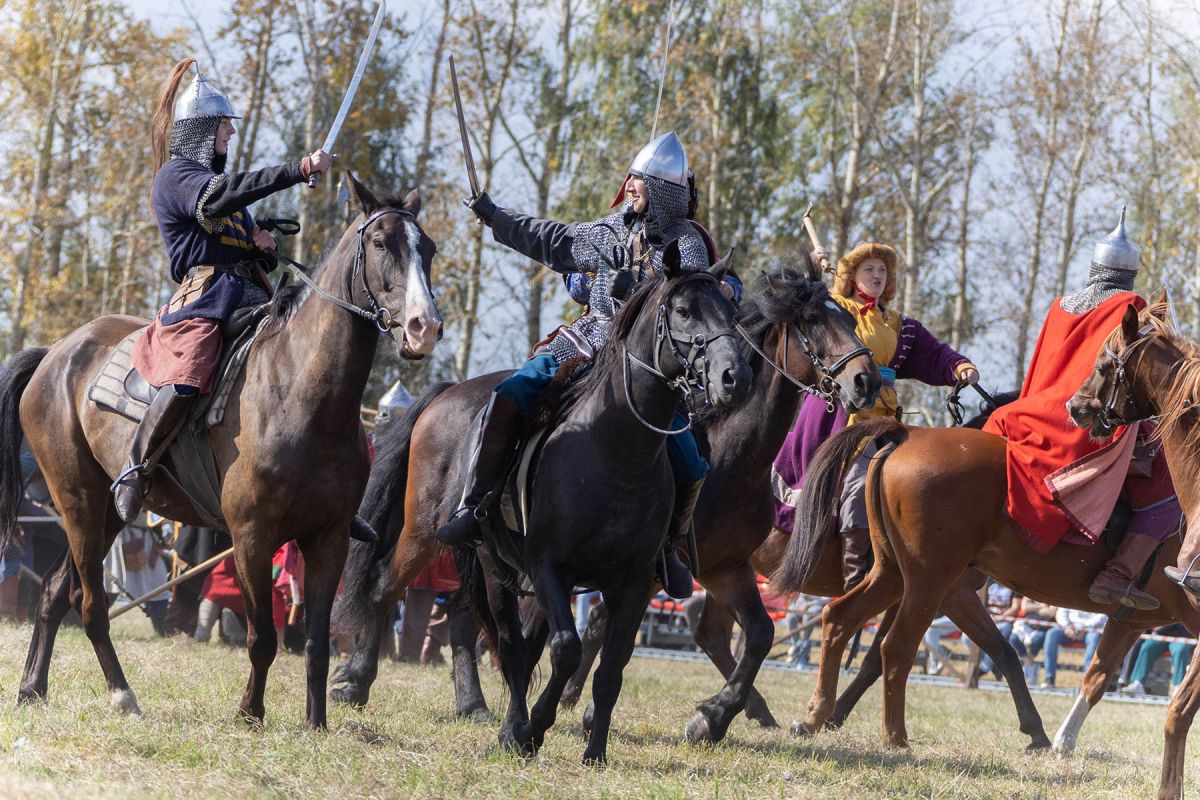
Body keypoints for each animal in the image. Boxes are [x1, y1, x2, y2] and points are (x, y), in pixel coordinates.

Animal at [0, 176, 441, 734]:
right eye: (381, 243)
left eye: (428, 249)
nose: (424, 327)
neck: (301, 392)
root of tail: (55, 354)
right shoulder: (253, 536)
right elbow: (263, 637)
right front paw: (250, 713)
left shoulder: (330, 538)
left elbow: (316, 643)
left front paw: (316, 723)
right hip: (77, 501)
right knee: (91, 603)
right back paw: (123, 695)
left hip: (108, 511)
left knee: (57, 591)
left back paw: (31, 689)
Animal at [768, 302, 1200, 800]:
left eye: (1106, 366)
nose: (1078, 409)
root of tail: (906, 433)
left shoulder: (1128, 621)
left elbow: (1091, 676)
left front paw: (1055, 741)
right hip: (927, 580)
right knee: (896, 646)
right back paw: (894, 737)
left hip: (896, 574)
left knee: (840, 620)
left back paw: (816, 716)